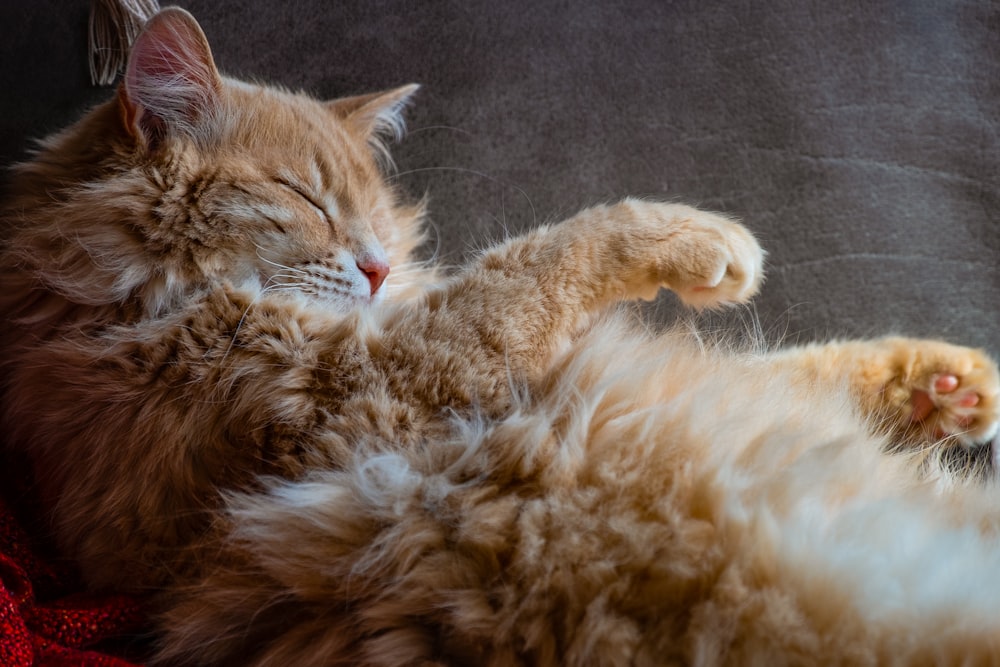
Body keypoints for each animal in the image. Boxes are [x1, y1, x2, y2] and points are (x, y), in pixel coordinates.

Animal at [1, 6, 1000, 667]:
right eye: (304, 199)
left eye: (382, 220)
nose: (377, 270)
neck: (96, 303)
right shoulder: (360, 385)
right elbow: (554, 247)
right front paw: (703, 240)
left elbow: (805, 369)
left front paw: (946, 386)